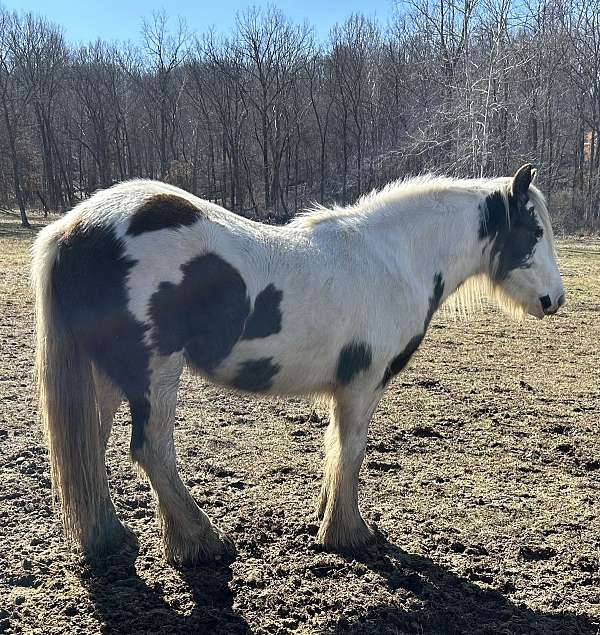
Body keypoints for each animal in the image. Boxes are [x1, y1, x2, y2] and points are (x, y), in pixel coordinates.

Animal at [31, 164, 568, 568]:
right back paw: (201, 542)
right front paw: (348, 532)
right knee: (152, 450)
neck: (394, 261)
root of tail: (73, 227)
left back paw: (110, 535)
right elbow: (352, 452)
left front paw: (328, 516)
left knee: (91, 444)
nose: (554, 300)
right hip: (155, 372)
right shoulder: (363, 385)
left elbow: (335, 449)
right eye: (535, 231)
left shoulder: (345, 387)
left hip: (105, 375)